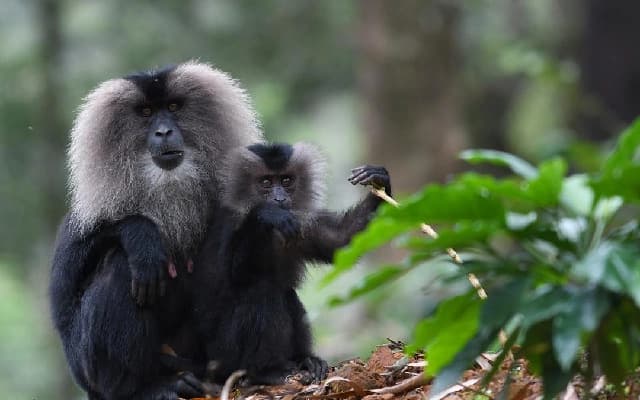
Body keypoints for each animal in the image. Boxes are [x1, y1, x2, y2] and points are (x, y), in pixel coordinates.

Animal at [49, 61, 263, 400]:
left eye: (173, 107)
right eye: (147, 112)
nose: (163, 132)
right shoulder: (83, 219)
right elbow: (63, 301)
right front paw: (142, 236)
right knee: (122, 264)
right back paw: (147, 388)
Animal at [191, 142, 392, 386]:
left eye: (286, 180)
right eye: (266, 182)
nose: (279, 199)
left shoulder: (301, 222)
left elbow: (340, 240)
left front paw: (379, 180)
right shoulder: (230, 220)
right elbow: (232, 275)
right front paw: (266, 215)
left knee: (286, 293)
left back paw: (305, 360)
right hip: (224, 355)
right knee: (261, 290)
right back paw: (266, 371)